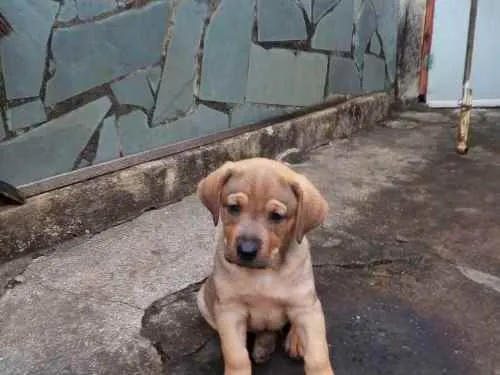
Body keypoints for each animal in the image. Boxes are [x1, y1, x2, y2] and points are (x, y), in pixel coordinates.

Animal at [197, 158, 334, 375]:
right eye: (233, 207)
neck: (264, 272)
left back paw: (294, 340)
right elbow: (236, 355)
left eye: (277, 216)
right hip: (203, 300)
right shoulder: (230, 311)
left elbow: (318, 357)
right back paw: (264, 346)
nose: (246, 250)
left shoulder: (306, 308)